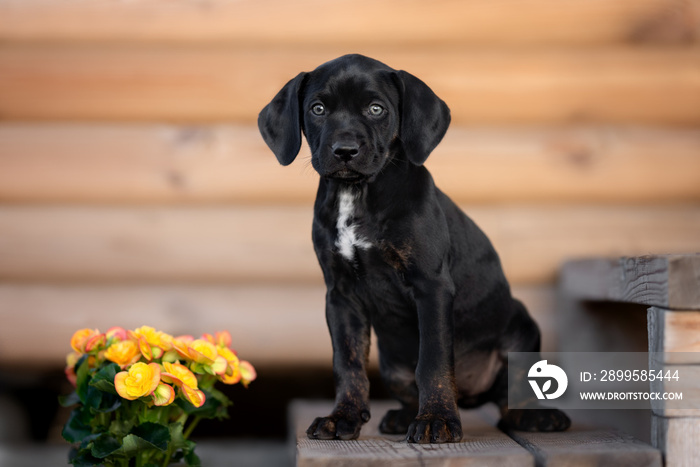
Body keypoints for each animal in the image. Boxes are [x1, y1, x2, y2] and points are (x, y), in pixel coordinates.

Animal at [258, 53, 568, 444]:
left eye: (376, 109)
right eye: (317, 109)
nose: (344, 151)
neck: (358, 194)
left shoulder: (430, 286)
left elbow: (433, 360)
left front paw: (436, 419)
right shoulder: (341, 296)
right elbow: (348, 362)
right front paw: (342, 416)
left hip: (522, 327)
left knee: (511, 396)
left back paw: (535, 416)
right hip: (391, 362)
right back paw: (402, 415)